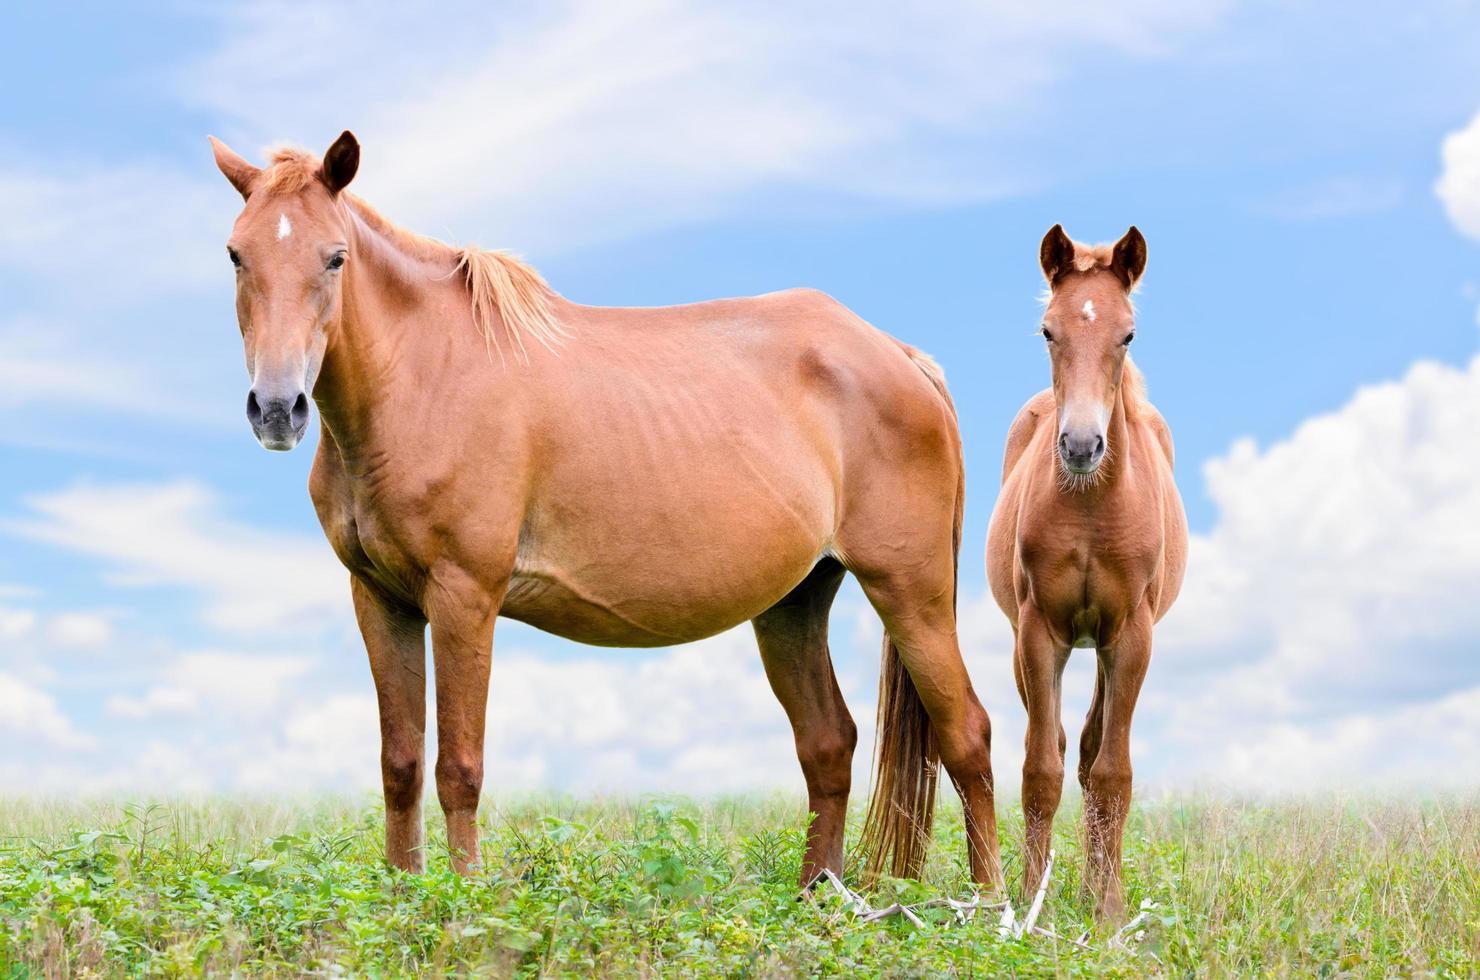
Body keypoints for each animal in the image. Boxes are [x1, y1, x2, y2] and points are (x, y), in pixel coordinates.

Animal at [211, 130, 1006, 888]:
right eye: (237, 255)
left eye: (335, 257)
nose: (277, 408)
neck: (423, 376)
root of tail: (899, 356)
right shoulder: (381, 599)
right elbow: (400, 766)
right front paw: (405, 902)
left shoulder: (464, 596)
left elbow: (458, 769)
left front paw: (462, 906)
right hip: (795, 602)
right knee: (829, 744)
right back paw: (819, 898)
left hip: (910, 592)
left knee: (967, 735)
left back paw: (992, 905)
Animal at [988, 225, 1184, 923]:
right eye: (1048, 330)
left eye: (1128, 334)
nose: (1079, 446)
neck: (1092, 506)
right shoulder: (1039, 633)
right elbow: (1040, 769)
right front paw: (1028, 903)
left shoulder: (1131, 635)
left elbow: (1111, 774)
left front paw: (1109, 913)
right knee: (1063, 746)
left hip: (1103, 645)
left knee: (1097, 750)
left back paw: (1098, 889)